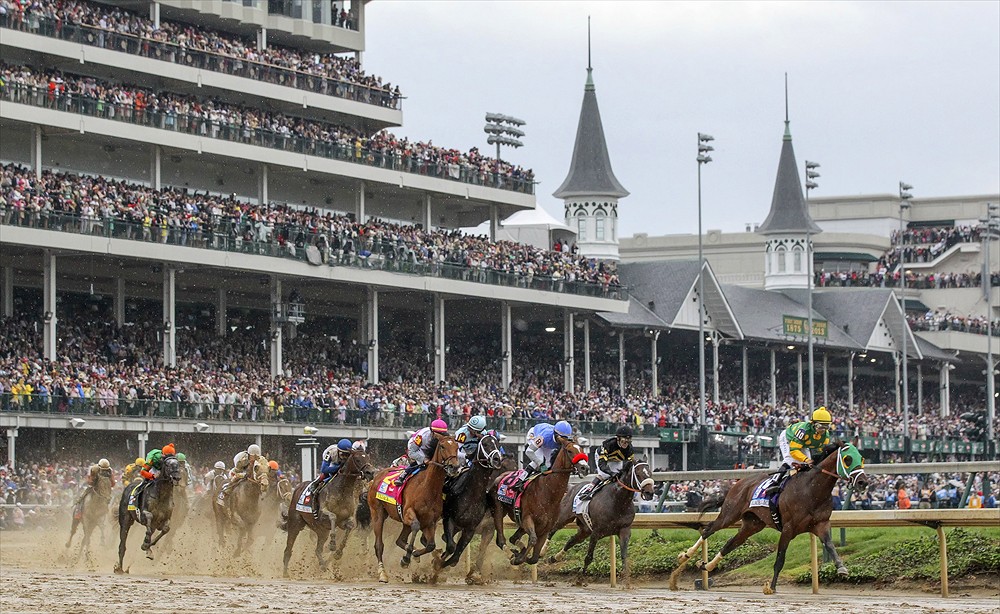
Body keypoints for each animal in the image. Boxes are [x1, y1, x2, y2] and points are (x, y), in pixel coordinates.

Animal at [284, 450, 376, 580]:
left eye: (368, 458)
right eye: (358, 459)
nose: (371, 472)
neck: (342, 490)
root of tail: (297, 488)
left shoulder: (343, 521)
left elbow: (349, 527)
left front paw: (338, 552)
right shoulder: (322, 514)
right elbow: (333, 516)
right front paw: (332, 544)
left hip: (321, 531)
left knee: (318, 550)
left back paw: (323, 565)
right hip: (295, 523)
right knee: (288, 548)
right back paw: (285, 572)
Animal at [368, 436, 460, 584]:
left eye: (457, 447)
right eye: (442, 446)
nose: (454, 467)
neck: (427, 487)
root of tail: (377, 475)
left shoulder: (430, 522)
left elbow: (431, 545)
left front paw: (414, 554)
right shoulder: (408, 513)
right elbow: (416, 526)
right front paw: (406, 558)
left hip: (404, 523)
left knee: (399, 540)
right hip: (377, 513)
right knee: (379, 545)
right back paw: (382, 573)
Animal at [438, 436, 504, 576]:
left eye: (497, 443)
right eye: (485, 444)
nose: (497, 459)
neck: (471, 495)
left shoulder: (470, 529)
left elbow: (455, 556)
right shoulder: (448, 518)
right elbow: (451, 546)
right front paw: (437, 563)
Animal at [672, 442, 868, 596]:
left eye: (861, 458)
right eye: (847, 459)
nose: (863, 482)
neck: (812, 490)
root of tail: (738, 484)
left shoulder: (821, 524)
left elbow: (830, 546)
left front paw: (841, 568)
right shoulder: (788, 528)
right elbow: (780, 559)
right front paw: (771, 587)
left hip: (752, 524)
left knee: (730, 543)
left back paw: (707, 566)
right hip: (730, 514)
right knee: (708, 529)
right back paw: (684, 557)